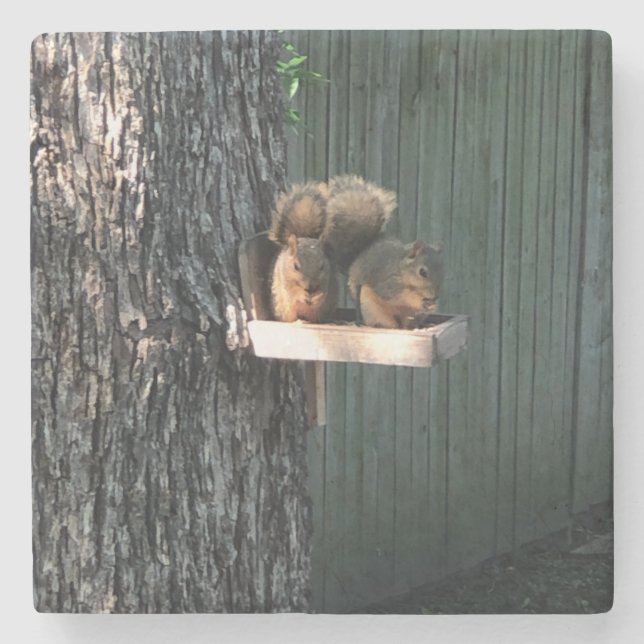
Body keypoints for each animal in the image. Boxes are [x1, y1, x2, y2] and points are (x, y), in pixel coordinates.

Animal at [268, 175, 443, 328]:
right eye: (423, 272)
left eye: (443, 273)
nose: (435, 296)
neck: (403, 271)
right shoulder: (386, 280)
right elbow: (396, 295)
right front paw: (420, 300)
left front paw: (433, 305)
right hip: (370, 308)